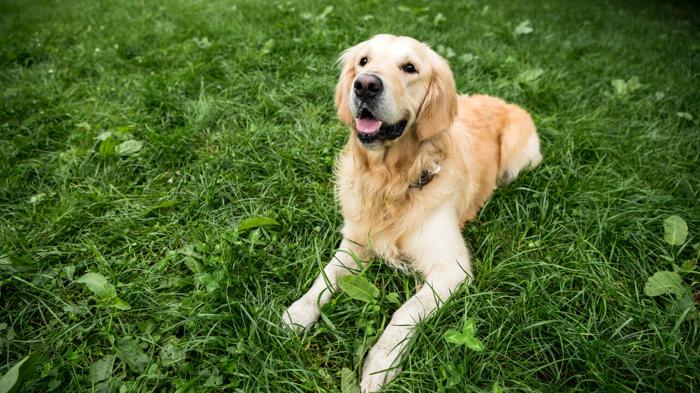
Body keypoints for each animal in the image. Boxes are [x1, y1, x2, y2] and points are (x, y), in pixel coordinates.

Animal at [284, 35, 540, 390]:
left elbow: (403, 313)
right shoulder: (356, 241)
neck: (392, 180)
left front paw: (379, 366)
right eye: (363, 61)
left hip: (521, 155)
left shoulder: (451, 269)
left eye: (409, 67)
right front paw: (299, 312)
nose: (365, 85)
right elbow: (326, 276)